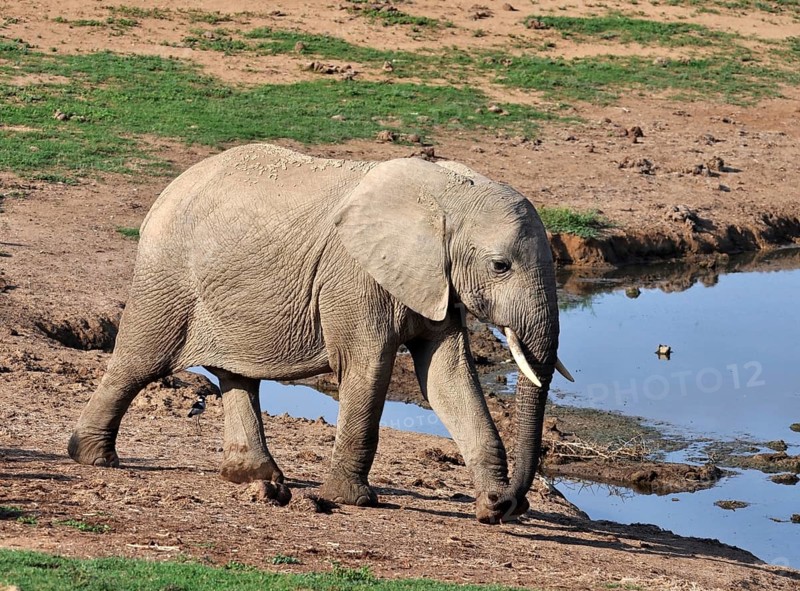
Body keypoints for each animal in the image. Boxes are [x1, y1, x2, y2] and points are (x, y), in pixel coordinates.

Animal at [68, 143, 572, 523]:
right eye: (500, 266)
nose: (511, 501)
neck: (448, 194)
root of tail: (170, 188)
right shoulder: (355, 277)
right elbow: (368, 367)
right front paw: (351, 501)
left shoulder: (433, 279)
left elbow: (446, 377)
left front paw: (489, 508)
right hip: (167, 275)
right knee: (140, 361)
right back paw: (93, 457)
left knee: (237, 375)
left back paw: (257, 479)